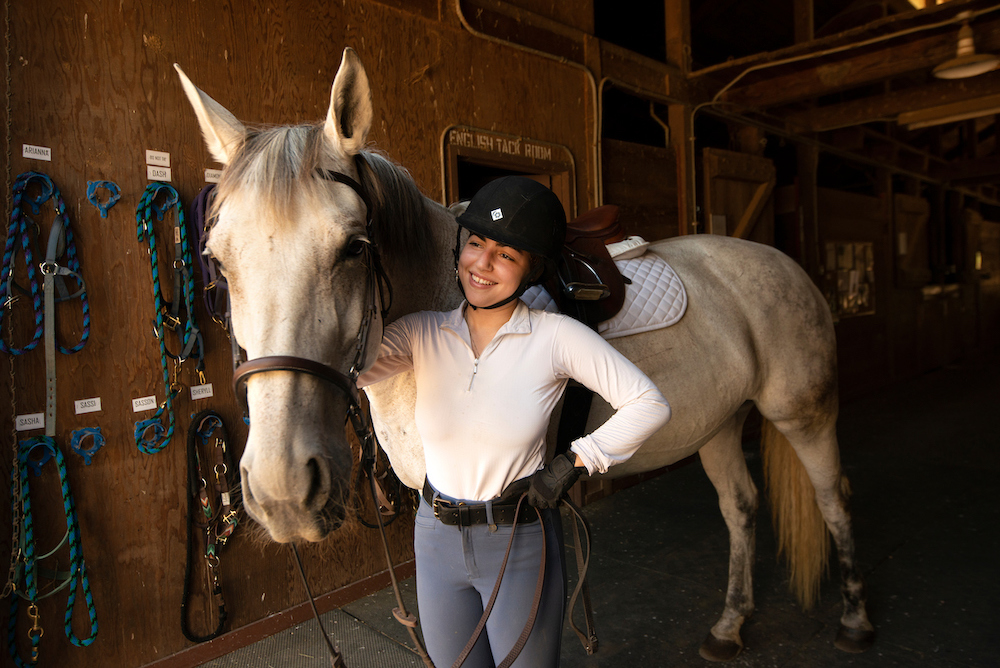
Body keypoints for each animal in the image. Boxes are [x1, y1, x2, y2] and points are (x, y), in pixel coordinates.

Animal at [178, 48, 876, 664]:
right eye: (217, 260)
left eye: (354, 247)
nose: (282, 491)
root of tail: (783, 263)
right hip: (720, 423)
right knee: (742, 508)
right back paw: (730, 626)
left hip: (805, 415)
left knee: (835, 498)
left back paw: (854, 619)